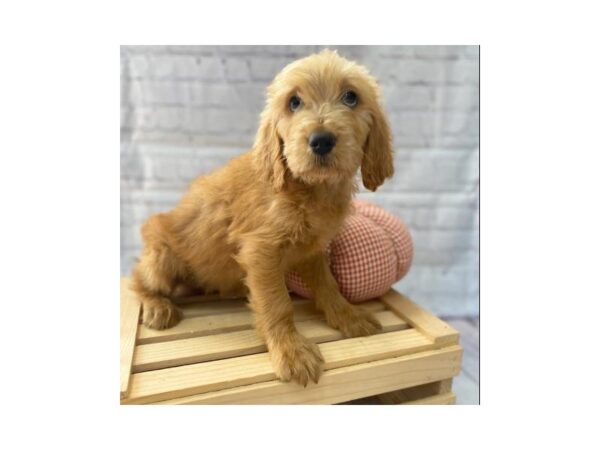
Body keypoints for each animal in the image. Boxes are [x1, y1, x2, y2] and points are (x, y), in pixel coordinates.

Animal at [131, 50, 394, 386]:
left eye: (351, 97)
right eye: (294, 102)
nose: (321, 140)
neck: (309, 189)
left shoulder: (313, 250)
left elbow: (328, 285)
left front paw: (347, 316)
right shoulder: (261, 251)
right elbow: (277, 303)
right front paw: (291, 351)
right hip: (162, 260)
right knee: (136, 279)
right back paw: (157, 305)